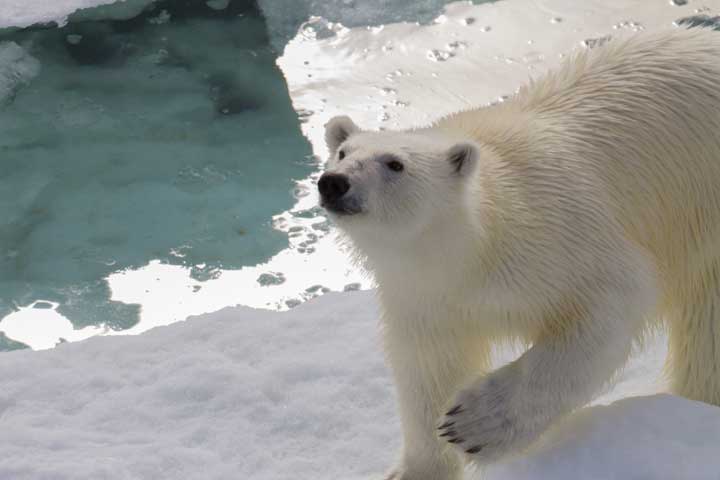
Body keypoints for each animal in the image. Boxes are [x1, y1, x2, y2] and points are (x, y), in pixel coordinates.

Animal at [318, 27, 720, 479]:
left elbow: (611, 302)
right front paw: (415, 469)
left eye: (395, 164)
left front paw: (477, 423)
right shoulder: (424, 300)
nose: (334, 183)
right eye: (343, 152)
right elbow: (427, 372)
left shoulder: (558, 238)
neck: (472, 248)